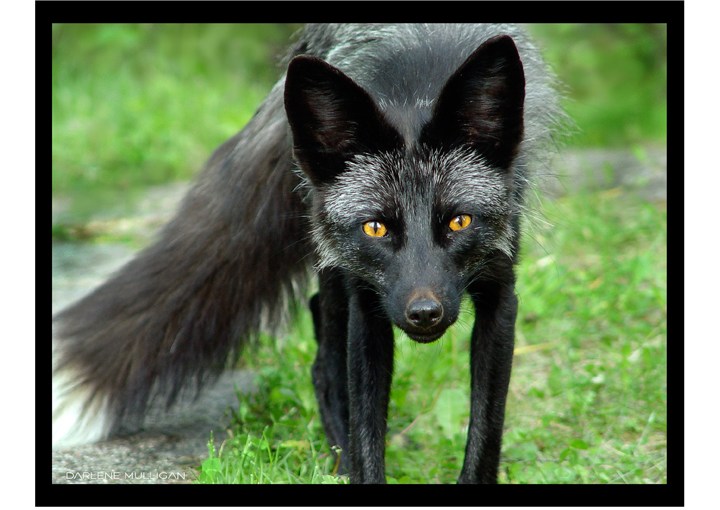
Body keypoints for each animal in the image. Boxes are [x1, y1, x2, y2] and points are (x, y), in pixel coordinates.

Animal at [52, 23, 563, 483]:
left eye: (459, 222)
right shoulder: (367, 304)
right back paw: (339, 459)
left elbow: (485, 436)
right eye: (376, 227)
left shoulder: (500, 294)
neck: (416, 84)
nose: (424, 313)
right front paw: (358, 464)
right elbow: (366, 434)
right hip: (337, 271)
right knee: (324, 354)